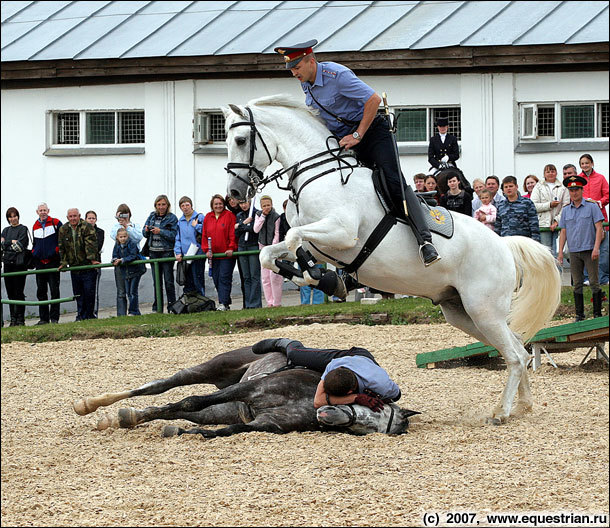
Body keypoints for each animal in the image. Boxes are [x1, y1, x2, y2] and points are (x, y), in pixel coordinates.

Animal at [72, 346, 418, 438]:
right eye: (372, 406)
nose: (329, 414)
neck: (308, 399)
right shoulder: (251, 388)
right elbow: (191, 398)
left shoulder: (265, 423)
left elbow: (223, 432)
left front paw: (183, 434)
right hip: (215, 369)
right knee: (163, 387)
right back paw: (90, 405)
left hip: (223, 408)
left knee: (176, 410)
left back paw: (124, 419)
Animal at [221, 95, 560, 424]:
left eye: (240, 139)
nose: (234, 193)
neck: (319, 174)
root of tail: (504, 245)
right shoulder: (319, 242)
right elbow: (271, 253)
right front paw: (325, 280)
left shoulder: (342, 232)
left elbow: (293, 238)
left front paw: (321, 278)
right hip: (463, 312)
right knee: (517, 347)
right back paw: (523, 406)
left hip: (483, 309)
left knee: (515, 355)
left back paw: (501, 412)